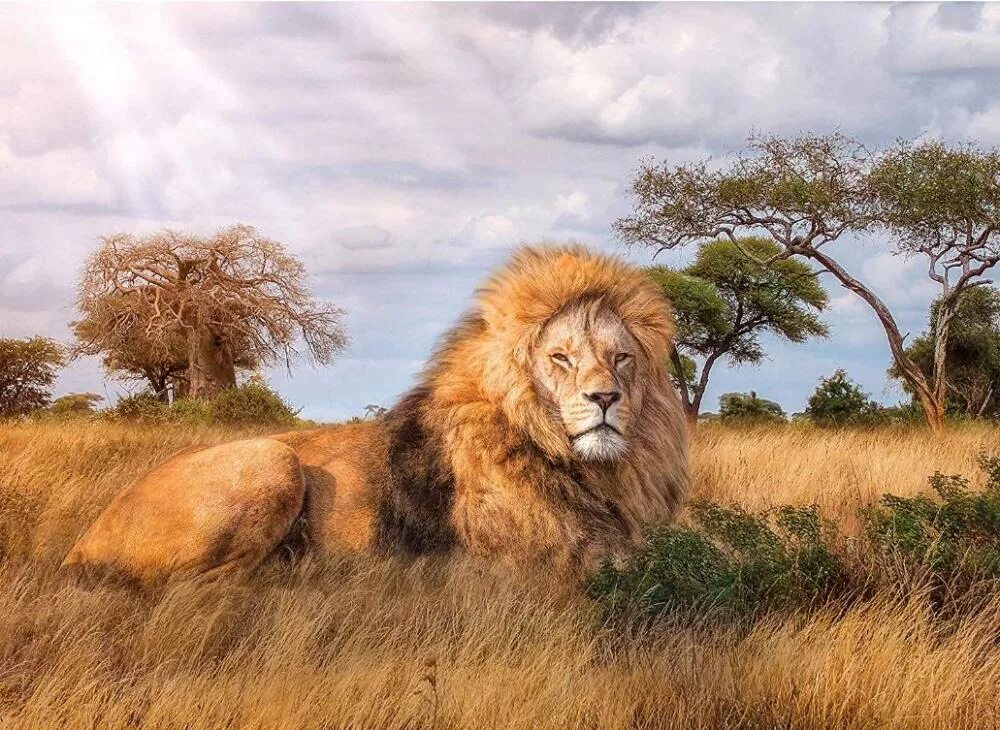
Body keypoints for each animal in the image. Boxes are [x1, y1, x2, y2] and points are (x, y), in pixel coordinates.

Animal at [62, 244, 690, 582]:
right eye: (560, 358)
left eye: (621, 358)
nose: (604, 398)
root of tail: (83, 540)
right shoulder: (533, 572)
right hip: (271, 457)